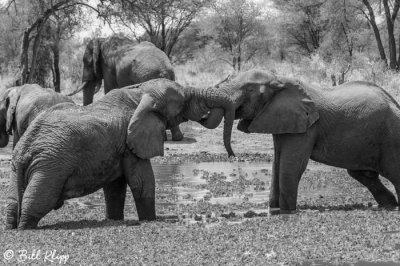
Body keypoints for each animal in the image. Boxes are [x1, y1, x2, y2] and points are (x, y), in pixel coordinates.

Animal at [233, 69, 400, 214]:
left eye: (249, 90)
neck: (279, 79)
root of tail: (394, 103)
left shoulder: (308, 126)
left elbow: (292, 166)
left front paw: (287, 212)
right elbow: (277, 163)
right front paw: (274, 211)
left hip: (390, 138)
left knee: (391, 172)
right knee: (362, 174)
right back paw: (390, 204)